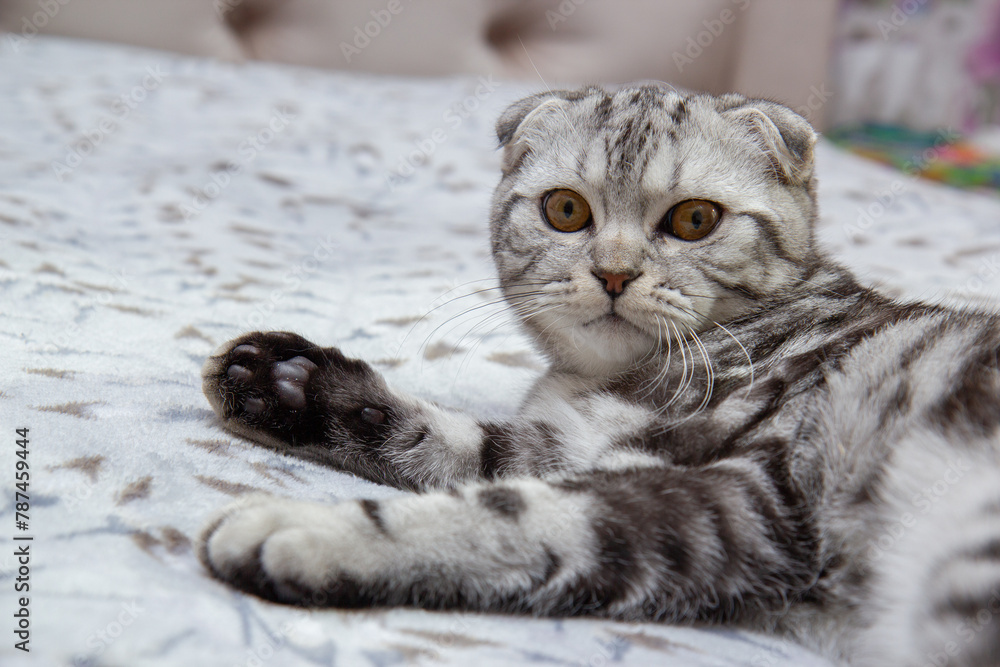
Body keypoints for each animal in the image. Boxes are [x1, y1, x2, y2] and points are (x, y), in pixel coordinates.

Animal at [197, 86, 1000, 664]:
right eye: (565, 209)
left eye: (696, 220)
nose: (614, 272)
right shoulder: (572, 442)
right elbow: (463, 447)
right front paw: (288, 383)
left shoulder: (758, 498)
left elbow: (514, 513)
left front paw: (308, 528)